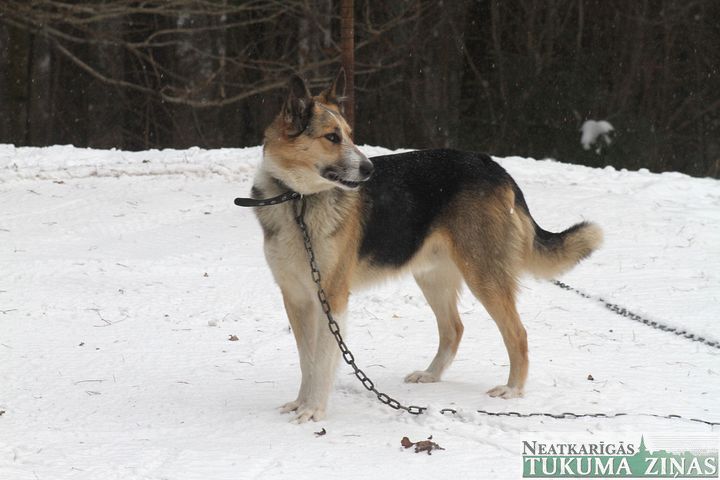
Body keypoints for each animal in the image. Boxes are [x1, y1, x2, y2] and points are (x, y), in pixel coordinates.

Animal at [249, 69, 600, 422]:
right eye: (332, 137)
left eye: (349, 135)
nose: (369, 170)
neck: (297, 200)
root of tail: (495, 167)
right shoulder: (296, 298)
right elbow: (306, 361)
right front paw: (300, 403)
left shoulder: (331, 297)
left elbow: (321, 362)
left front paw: (314, 410)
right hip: (432, 276)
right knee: (454, 328)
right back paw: (431, 375)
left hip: (483, 275)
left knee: (517, 333)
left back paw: (512, 391)